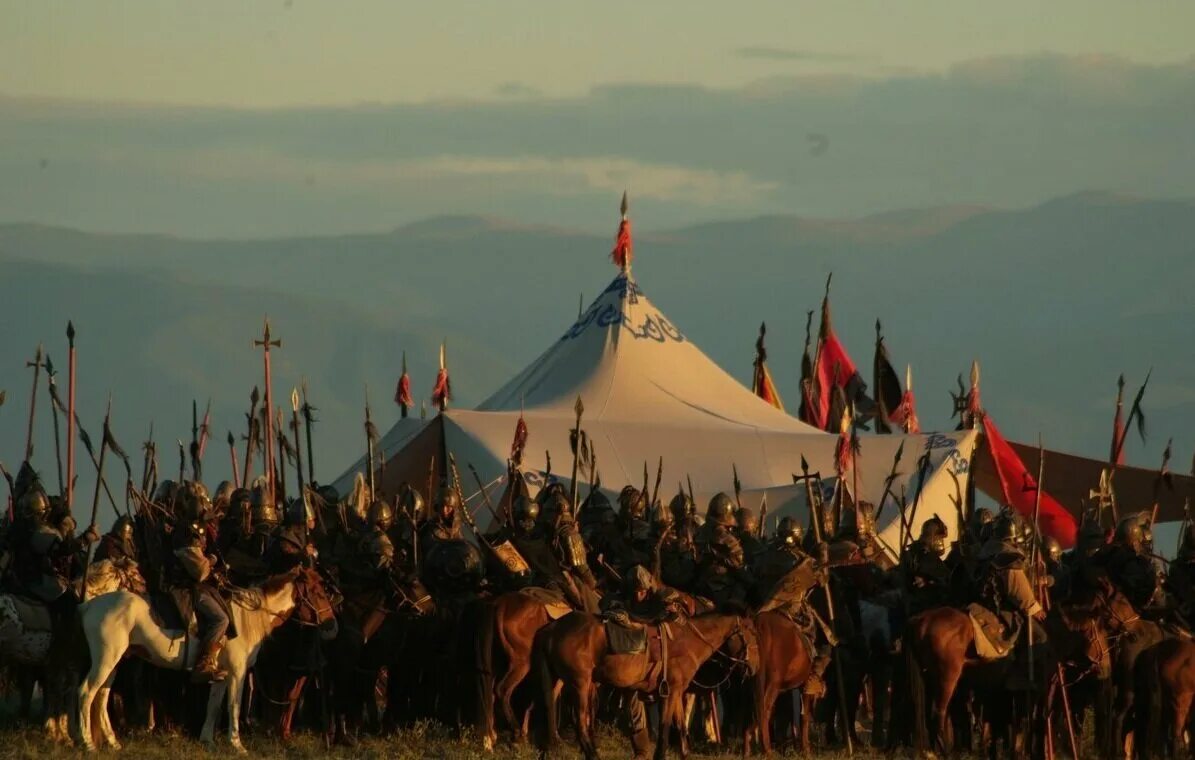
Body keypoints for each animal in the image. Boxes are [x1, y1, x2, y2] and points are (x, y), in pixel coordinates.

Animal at [74, 566, 336, 750]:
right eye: (317, 590)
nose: (332, 627)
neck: (247, 618)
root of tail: (88, 606)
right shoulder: (238, 673)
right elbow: (233, 705)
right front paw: (236, 744)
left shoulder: (221, 674)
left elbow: (214, 706)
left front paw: (207, 740)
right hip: (106, 660)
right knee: (86, 693)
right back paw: (88, 744)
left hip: (114, 662)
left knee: (101, 697)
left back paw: (113, 743)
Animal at [535, 611, 740, 760]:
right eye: (747, 631)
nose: (745, 663)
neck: (688, 641)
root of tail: (551, 629)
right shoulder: (670, 692)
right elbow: (666, 726)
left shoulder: (676, 691)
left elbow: (681, 724)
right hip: (580, 684)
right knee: (580, 723)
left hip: (559, 682)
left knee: (551, 711)